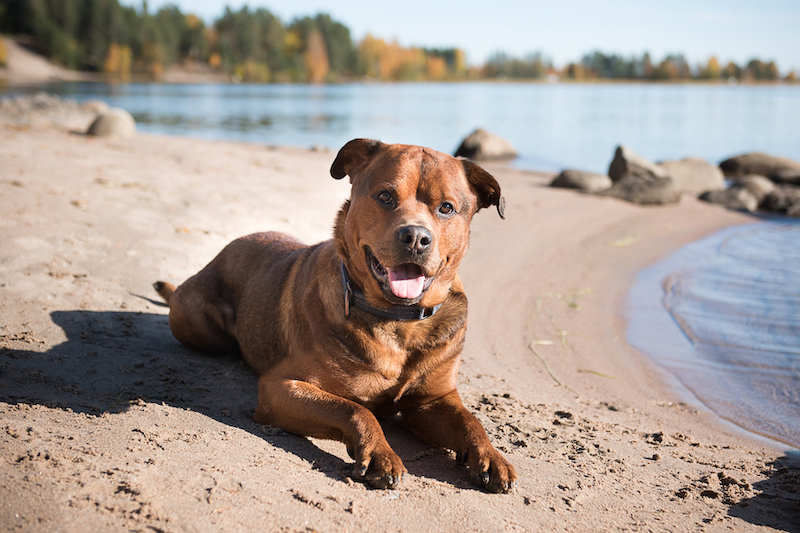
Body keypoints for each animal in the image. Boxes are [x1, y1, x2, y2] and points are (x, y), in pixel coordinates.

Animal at [155, 139, 516, 492]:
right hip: (198, 322)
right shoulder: (279, 387)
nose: (415, 237)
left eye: (447, 208)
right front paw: (379, 453)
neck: (397, 320)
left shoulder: (432, 400)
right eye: (385, 196)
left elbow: (470, 421)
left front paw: (490, 456)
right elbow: (354, 408)